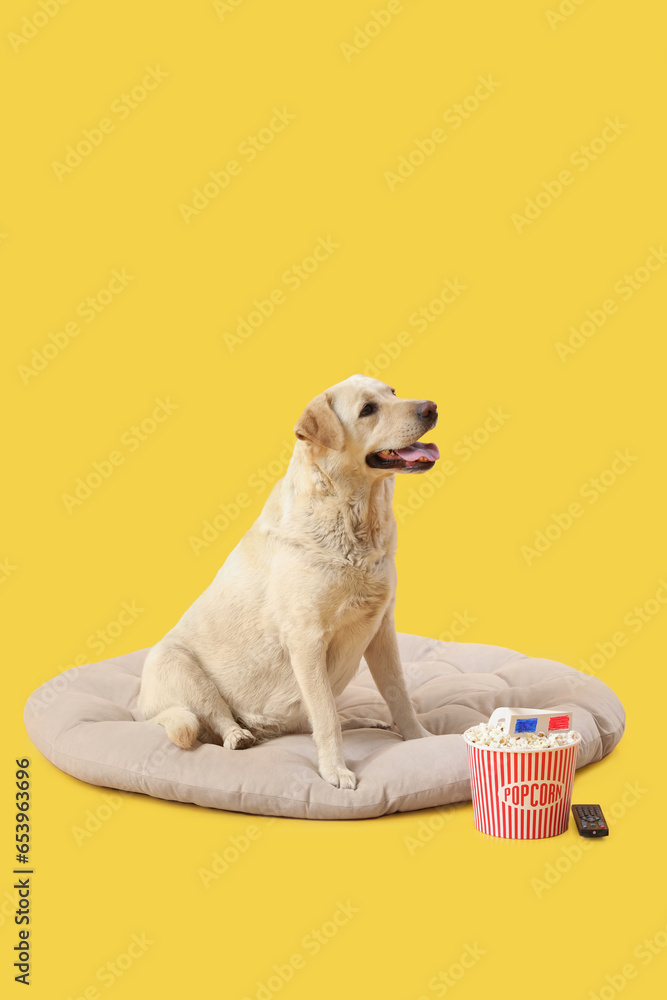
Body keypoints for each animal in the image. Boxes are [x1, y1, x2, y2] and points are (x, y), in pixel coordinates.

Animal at [138, 372, 440, 784]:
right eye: (368, 409)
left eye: (393, 392)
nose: (432, 407)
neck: (354, 522)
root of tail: (140, 709)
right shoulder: (306, 640)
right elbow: (326, 717)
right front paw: (335, 771)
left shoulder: (381, 629)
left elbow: (399, 696)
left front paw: (419, 738)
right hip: (178, 665)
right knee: (215, 716)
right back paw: (238, 736)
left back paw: (362, 720)